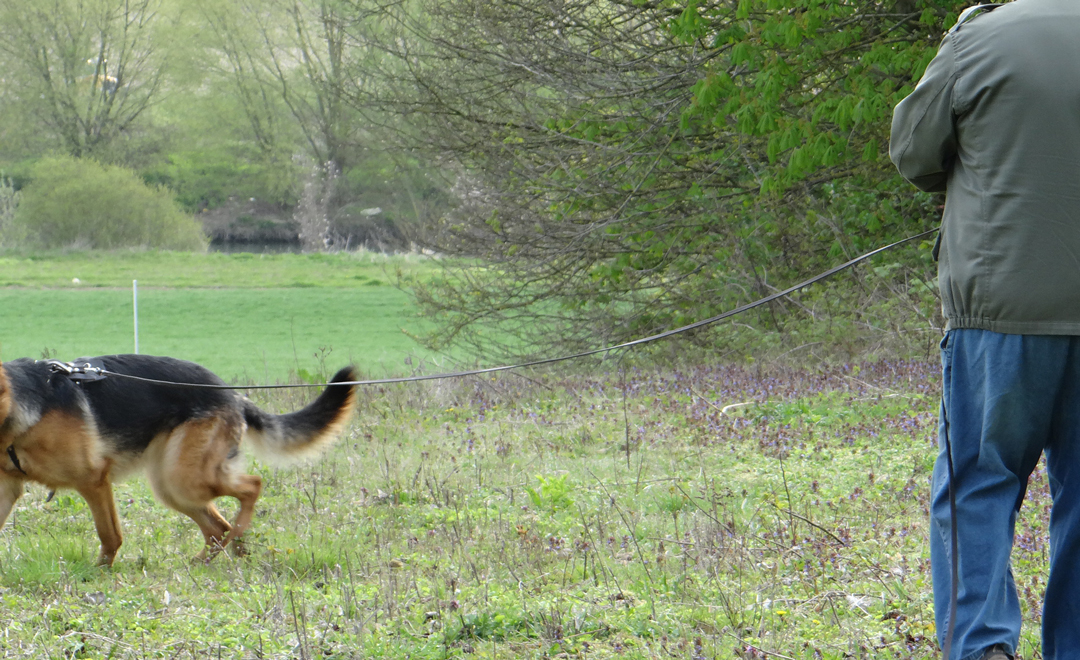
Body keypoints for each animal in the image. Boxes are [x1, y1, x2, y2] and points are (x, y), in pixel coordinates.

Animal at [0, 356, 358, 566]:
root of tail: (233, 395)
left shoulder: (94, 481)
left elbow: (109, 534)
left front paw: (99, 572)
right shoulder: (6, 490)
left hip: (184, 480)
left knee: (251, 487)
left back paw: (235, 541)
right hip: (173, 486)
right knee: (217, 528)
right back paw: (224, 556)